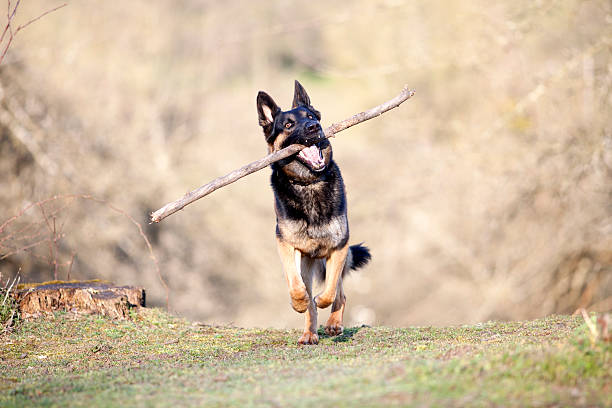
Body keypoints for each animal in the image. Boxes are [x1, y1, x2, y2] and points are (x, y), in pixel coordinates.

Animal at [256, 80, 370, 344]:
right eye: (288, 125)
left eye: (311, 117)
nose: (314, 127)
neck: (309, 184)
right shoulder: (286, 245)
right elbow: (297, 287)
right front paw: (299, 303)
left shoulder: (339, 247)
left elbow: (328, 293)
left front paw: (323, 303)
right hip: (307, 262)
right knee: (309, 295)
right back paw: (309, 333)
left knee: (340, 294)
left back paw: (334, 324)